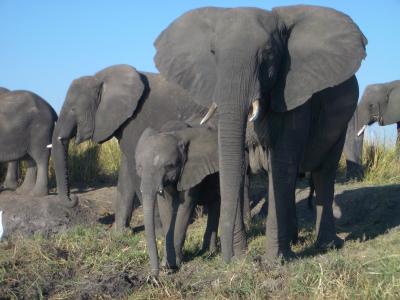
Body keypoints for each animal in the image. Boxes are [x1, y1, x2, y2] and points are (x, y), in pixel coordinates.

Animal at [52, 63, 206, 230]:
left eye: (73, 109)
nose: (74, 198)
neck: (101, 79)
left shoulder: (136, 120)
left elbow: (136, 171)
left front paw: (158, 231)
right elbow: (127, 171)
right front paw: (121, 232)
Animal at [136, 120, 220, 276]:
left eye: (169, 166)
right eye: (139, 167)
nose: (153, 277)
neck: (176, 134)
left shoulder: (191, 170)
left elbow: (184, 207)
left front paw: (173, 265)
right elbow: (166, 208)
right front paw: (167, 264)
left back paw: (210, 252)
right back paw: (207, 251)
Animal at [155, 5, 368, 262]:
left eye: (268, 54)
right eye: (213, 52)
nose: (230, 257)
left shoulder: (294, 93)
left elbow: (282, 163)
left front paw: (274, 262)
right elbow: (237, 163)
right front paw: (243, 256)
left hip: (340, 123)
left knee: (323, 174)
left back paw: (325, 244)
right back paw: (294, 241)